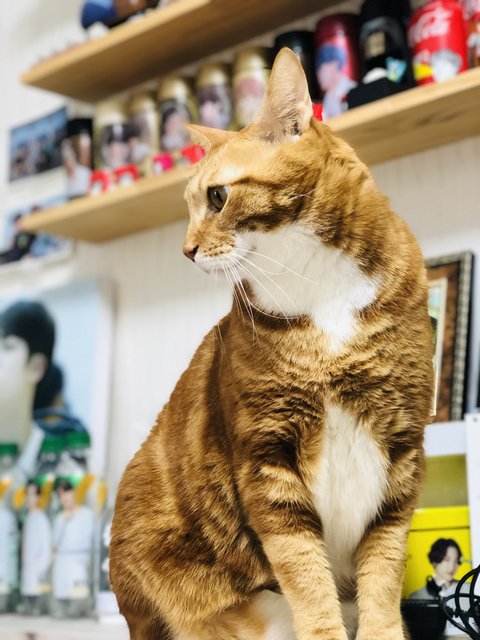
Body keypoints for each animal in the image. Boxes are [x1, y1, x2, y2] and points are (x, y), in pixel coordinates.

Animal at [110, 48, 434, 640]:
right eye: (188, 205)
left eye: (217, 197)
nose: (186, 250)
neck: (319, 289)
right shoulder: (266, 456)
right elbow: (305, 575)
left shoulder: (402, 446)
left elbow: (382, 571)